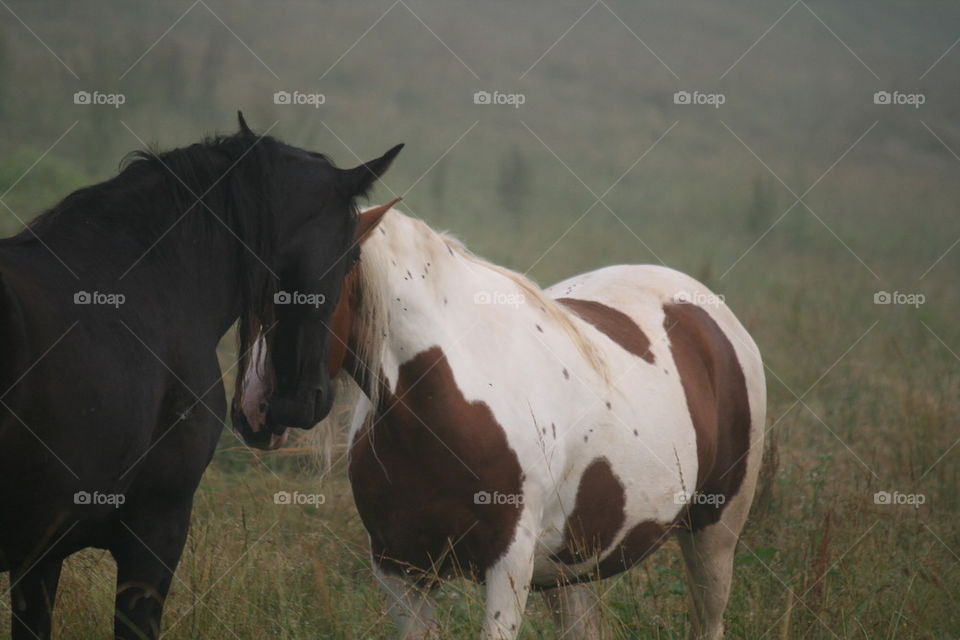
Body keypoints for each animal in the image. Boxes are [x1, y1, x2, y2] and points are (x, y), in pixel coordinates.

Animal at [239, 204, 767, 640]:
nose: (258, 410)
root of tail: (706, 311)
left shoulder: (508, 563)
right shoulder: (399, 568)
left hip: (713, 534)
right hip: (570, 566)